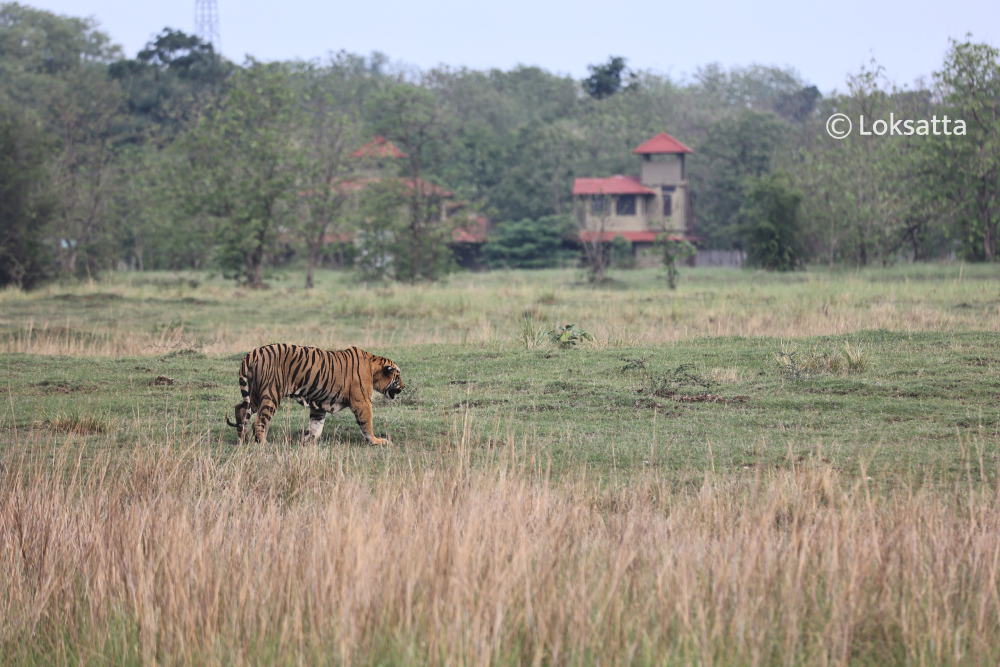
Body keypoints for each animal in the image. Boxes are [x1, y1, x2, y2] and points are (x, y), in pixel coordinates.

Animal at [226, 344, 402, 448]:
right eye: (398, 376)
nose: (404, 386)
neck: (373, 368)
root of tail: (254, 352)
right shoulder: (362, 402)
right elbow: (367, 424)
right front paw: (377, 441)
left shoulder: (319, 404)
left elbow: (316, 426)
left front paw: (307, 442)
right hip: (271, 393)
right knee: (259, 422)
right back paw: (262, 443)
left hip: (256, 392)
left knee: (241, 408)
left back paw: (243, 437)